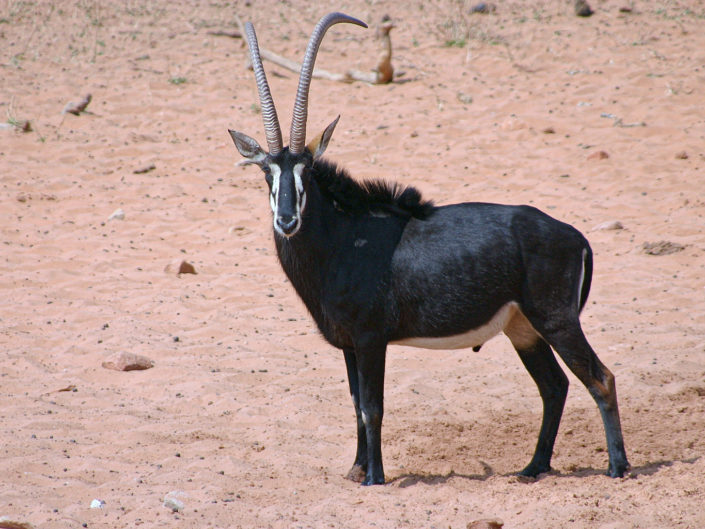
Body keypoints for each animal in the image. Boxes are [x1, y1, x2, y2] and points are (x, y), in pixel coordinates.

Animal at [228, 12, 628, 484]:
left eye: (306, 171)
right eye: (267, 172)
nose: (287, 221)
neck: (345, 237)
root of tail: (574, 236)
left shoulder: (371, 340)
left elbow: (372, 407)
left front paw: (375, 477)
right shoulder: (348, 346)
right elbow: (355, 404)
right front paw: (356, 469)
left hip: (557, 321)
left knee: (600, 378)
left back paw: (617, 466)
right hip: (524, 328)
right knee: (554, 386)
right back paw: (533, 467)